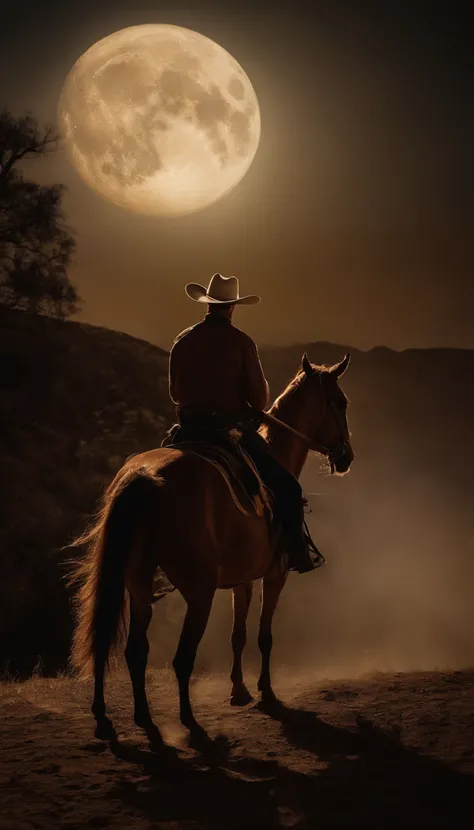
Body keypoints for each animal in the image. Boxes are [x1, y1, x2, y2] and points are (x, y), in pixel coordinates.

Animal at [69, 354, 352, 744]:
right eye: (340, 402)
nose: (346, 457)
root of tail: (143, 477)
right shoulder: (275, 574)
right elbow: (263, 635)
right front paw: (265, 690)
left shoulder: (243, 579)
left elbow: (238, 634)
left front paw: (239, 690)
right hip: (198, 592)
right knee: (181, 657)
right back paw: (189, 722)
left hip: (137, 587)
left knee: (129, 650)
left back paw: (123, 718)